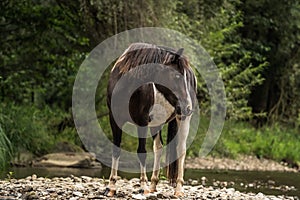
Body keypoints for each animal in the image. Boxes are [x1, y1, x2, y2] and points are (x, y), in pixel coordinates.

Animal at [105, 42, 197, 197]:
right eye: (177, 76)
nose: (187, 107)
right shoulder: (114, 120)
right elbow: (116, 150)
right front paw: (111, 187)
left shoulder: (142, 122)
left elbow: (141, 152)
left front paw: (143, 186)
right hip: (156, 123)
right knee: (158, 148)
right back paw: (153, 184)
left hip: (182, 119)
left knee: (181, 149)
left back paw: (178, 189)